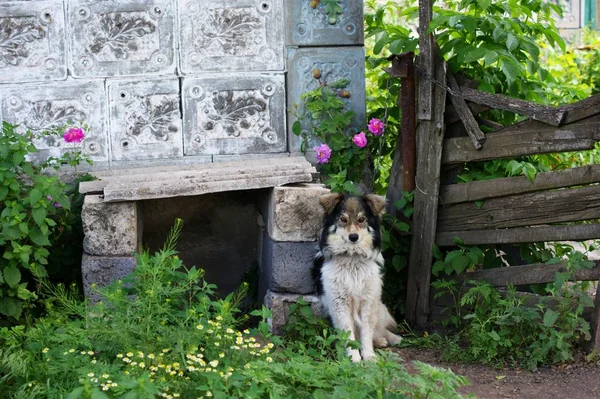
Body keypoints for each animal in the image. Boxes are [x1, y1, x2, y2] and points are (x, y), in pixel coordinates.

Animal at [312, 193, 400, 362]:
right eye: (343, 219)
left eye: (361, 219)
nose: (353, 236)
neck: (352, 257)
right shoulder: (339, 304)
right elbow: (348, 335)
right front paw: (354, 358)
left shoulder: (369, 301)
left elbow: (367, 332)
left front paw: (369, 356)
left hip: (379, 306)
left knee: (378, 329)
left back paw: (390, 339)